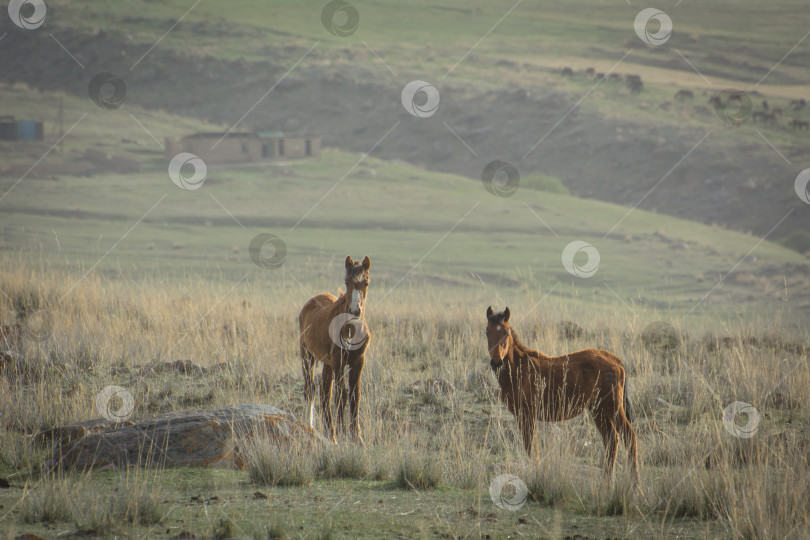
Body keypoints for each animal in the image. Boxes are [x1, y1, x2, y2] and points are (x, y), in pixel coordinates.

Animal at [298, 258, 370, 442]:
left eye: (366, 282)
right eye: (346, 282)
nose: (355, 311)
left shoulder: (358, 361)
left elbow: (355, 395)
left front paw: (357, 438)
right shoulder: (339, 362)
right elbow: (341, 396)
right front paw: (343, 433)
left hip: (327, 364)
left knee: (325, 393)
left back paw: (330, 433)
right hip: (307, 355)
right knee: (310, 389)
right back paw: (310, 427)